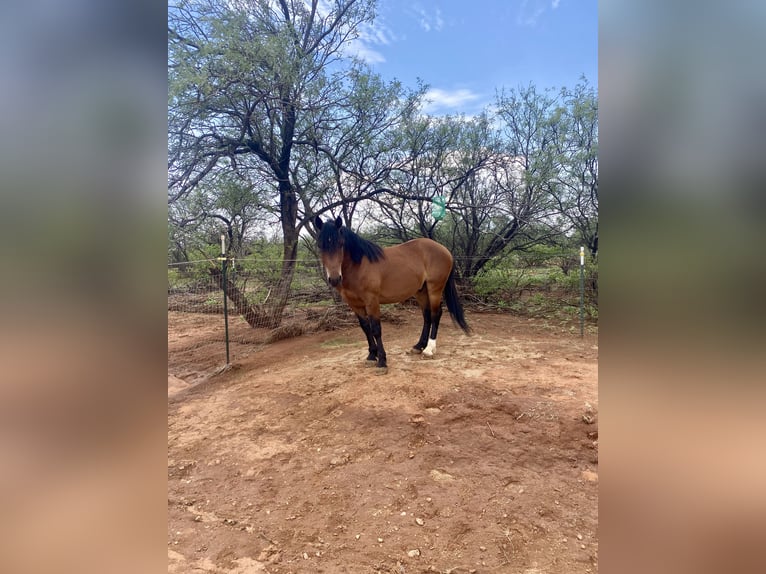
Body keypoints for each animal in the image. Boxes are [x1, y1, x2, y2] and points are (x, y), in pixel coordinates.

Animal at [314, 215, 472, 374]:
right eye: (320, 246)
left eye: (341, 244)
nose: (334, 279)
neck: (358, 267)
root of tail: (444, 250)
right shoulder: (354, 304)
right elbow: (365, 328)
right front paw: (371, 356)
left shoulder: (372, 301)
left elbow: (376, 329)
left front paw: (382, 361)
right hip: (421, 291)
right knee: (427, 316)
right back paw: (418, 346)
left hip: (435, 288)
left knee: (435, 314)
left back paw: (429, 349)